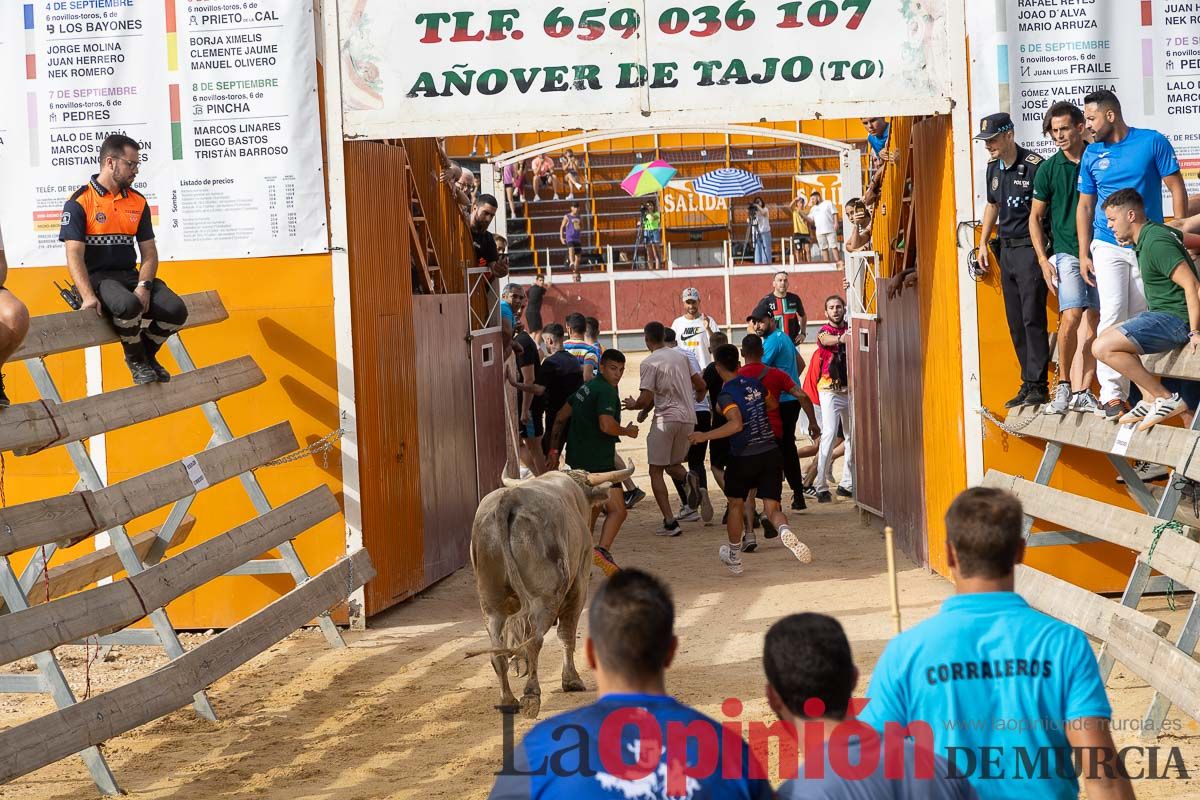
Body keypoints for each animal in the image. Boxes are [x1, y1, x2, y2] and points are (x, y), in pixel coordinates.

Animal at [470, 462, 638, 719]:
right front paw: (571, 680)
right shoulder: (579, 585)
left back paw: (508, 700)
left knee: (498, 650)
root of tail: (510, 498)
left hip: (491, 603)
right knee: (534, 640)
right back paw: (531, 695)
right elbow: (567, 633)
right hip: (544, 598)